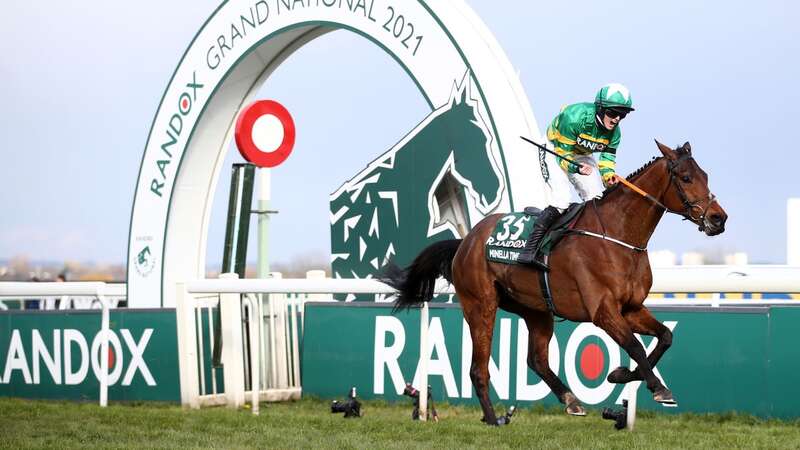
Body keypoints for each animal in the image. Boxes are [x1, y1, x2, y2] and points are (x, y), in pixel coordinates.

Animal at [384, 142, 728, 426]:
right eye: (685, 177)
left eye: (706, 176)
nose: (718, 219)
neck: (618, 237)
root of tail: (466, 240)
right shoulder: (603, 311)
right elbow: (634, 345)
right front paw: (657, 388)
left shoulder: (631, 308)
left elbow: (664, 337)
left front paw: (622, 375)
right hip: (480, 305)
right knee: (478, 368)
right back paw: (493, 419)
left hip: (536, 310)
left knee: (536, 359)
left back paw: (571, 400)